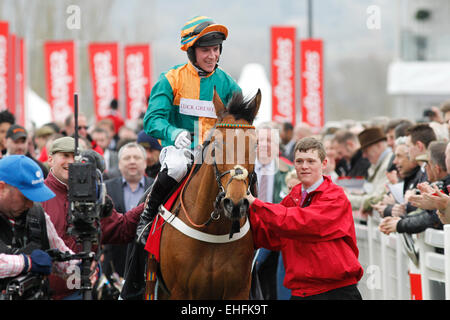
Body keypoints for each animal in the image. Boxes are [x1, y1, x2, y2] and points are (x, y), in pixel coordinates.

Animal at [154, 88, 260, 300]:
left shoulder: (238, 291)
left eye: (255, 145)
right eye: (217, 144)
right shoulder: (180, 291)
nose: (235, 203)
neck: (213, 231)